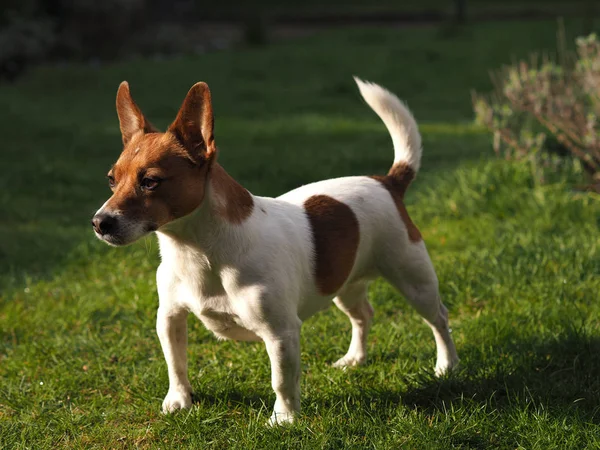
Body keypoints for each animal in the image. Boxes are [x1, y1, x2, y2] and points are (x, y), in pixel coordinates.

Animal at [92, 75, 460, 424]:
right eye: (111, 180)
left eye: (150, 182)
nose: (99, 222)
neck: (196, 250)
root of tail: (387, 181)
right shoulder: (169, 318)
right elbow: (176, 364)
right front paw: (179, 401)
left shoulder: (280, 333)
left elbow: (281, 380)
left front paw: (283, 420)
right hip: (344, 284)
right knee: (363, 316)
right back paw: (355, 358)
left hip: (414, 280)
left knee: (438, 319)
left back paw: (447, 365)